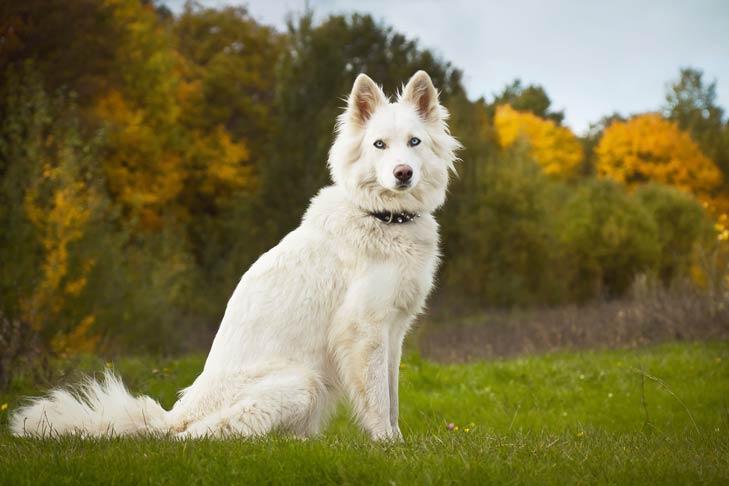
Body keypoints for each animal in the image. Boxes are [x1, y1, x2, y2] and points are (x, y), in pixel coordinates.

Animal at [11, 71, 460, 440]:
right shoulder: (364, 331)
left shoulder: (393, 332)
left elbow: (392, 395)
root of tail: (174, 415)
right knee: (199, 437)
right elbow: (378, 400)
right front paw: (387, 447)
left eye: (414, 142)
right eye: (379, 145)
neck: (383, 217)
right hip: (302, 382)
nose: (403, 174)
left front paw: (399, 442)